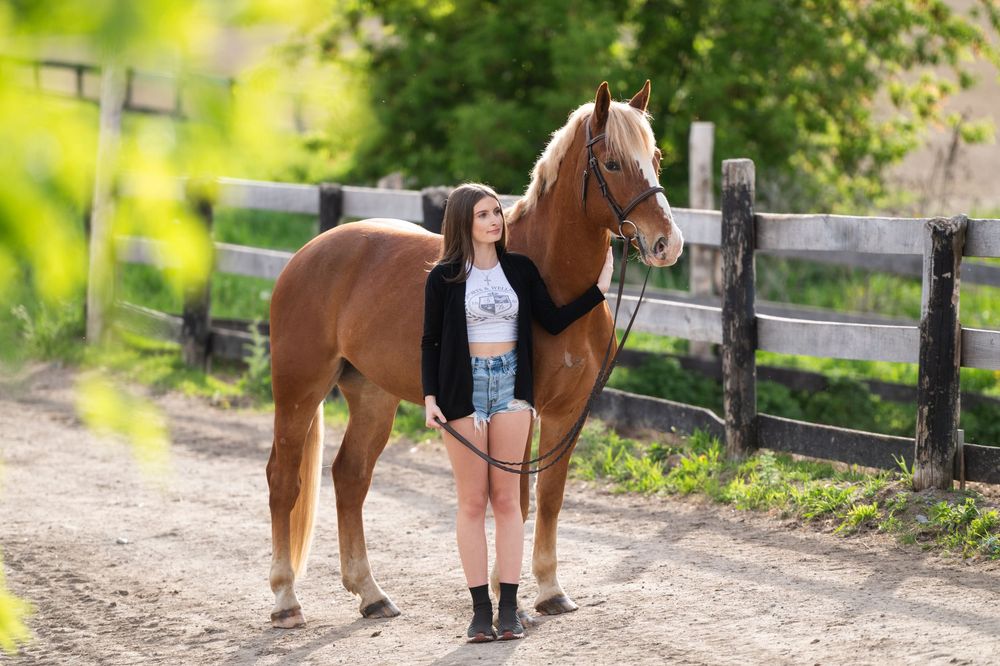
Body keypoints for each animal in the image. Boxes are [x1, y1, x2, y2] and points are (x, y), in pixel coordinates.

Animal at [266, 81, 684, 628]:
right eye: (613, 163)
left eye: (655, 158)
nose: (666, 244)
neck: (552, 283)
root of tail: (305, 255)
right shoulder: (523, 409)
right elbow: (517, 500)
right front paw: (507, 595)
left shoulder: (568, 412)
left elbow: (549, 497)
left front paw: (550, 591)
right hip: (299, 389)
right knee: (284, 480)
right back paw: (285, 599)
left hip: (373, 396)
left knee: (350, 477)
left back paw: (371, 595)